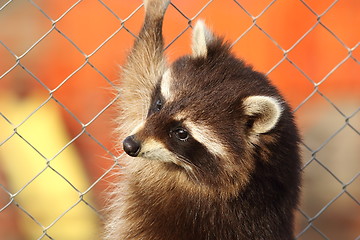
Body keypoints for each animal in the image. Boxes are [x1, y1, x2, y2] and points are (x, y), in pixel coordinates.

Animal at [103, 0, 300, 240]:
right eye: (159, 104)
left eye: (181, 133)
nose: (129, 145)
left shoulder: (160, 176)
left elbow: (137, 80)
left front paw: (153, 18)